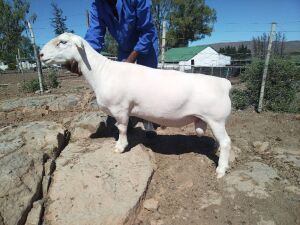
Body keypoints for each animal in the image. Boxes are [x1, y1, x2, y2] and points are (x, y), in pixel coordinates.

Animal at [39, 33, 232, 178]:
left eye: (63, 42)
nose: (40, 55)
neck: (102, 72)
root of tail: (224, 83)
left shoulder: (121, 108)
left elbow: (122, 128)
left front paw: (120, 147)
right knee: (220, 142)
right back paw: (215, 151)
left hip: (216, 119)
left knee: (226, 142)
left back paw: (221, 170)